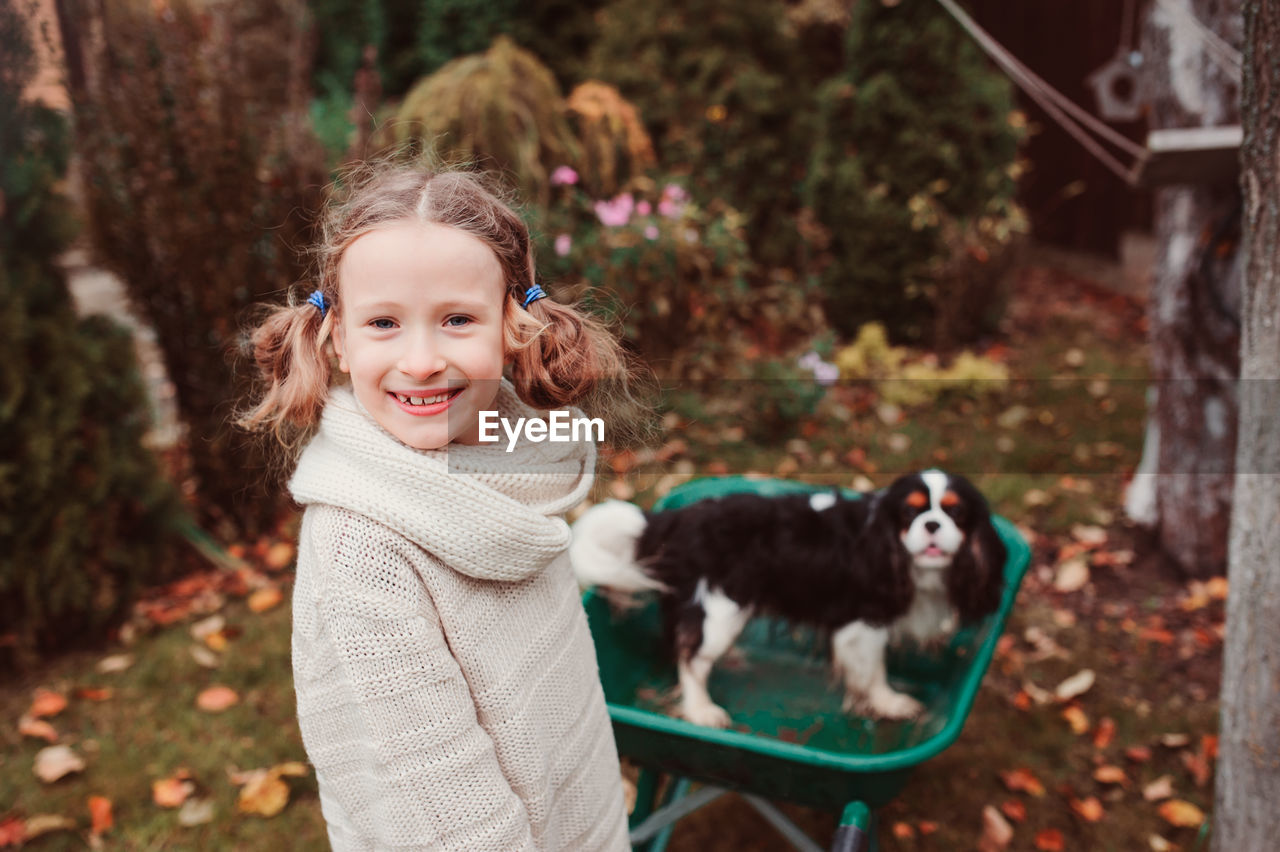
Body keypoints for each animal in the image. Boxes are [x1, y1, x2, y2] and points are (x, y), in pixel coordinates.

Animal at [573, 470, 1008, 721]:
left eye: (956, 513)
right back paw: (701, 711)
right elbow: (873, 671)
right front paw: (888, 703)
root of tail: (671, 520)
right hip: (720, 609)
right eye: (910, 513)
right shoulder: (862, 624)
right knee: (690, 658)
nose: (933, 524)